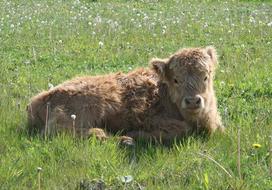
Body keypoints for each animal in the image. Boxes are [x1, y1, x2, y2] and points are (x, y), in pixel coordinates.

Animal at [26, 46, 224, 143]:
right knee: (57, 131)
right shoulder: (150, 119)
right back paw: (115, 137)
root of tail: (38, 99)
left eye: (206, 76)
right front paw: (135, 134)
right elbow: (183, 129)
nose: (193, 101)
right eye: (176, 80)